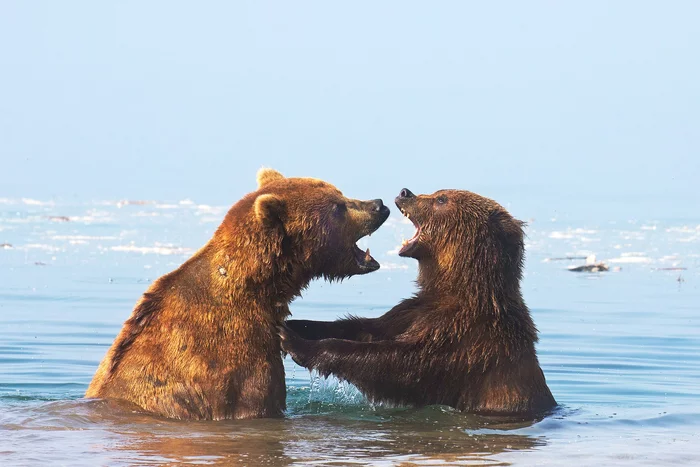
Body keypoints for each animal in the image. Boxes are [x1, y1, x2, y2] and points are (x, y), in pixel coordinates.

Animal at [280, 186, 556, 416]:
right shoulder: (413, 311)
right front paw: (294, 325)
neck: (456, 288)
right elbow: (367, 329)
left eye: (441, 199)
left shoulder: (464, 336)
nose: (405, 192)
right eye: (438, 192)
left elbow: (398, 364)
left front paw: (295, 342)